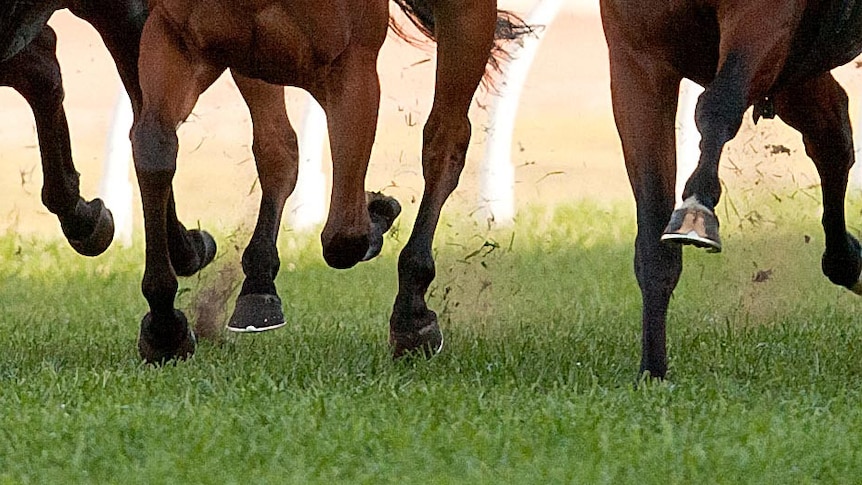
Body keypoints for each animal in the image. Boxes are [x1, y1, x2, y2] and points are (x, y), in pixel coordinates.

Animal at [132, 0, 532, 362]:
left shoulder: (350, 65)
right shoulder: (176, 37)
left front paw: (377, 218)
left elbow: (344, 235)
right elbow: (154, 150)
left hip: (466, 19)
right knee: (278, 149)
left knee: (444, 143)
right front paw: (165, 327)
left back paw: (411, 312)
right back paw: (259, 283)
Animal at [604, 0, 862, 378]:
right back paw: (846, 263)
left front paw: (697, 211)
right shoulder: (636, 54)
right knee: (832, 135)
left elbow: (717, 105)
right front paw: (652, 371)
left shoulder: (764, 19)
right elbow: (653, 235)